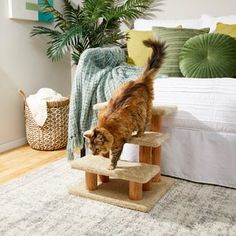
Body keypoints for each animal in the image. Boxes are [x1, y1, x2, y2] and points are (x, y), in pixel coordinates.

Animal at [84, 39, 165, 170]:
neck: (107, 128)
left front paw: (111, 166)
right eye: (90, 148)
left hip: (142, 111)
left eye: (97, 148)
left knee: (144, 124)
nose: (94, 154)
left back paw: (138, 134)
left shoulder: (118, 144)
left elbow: (114, 157)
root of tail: (140, 80)